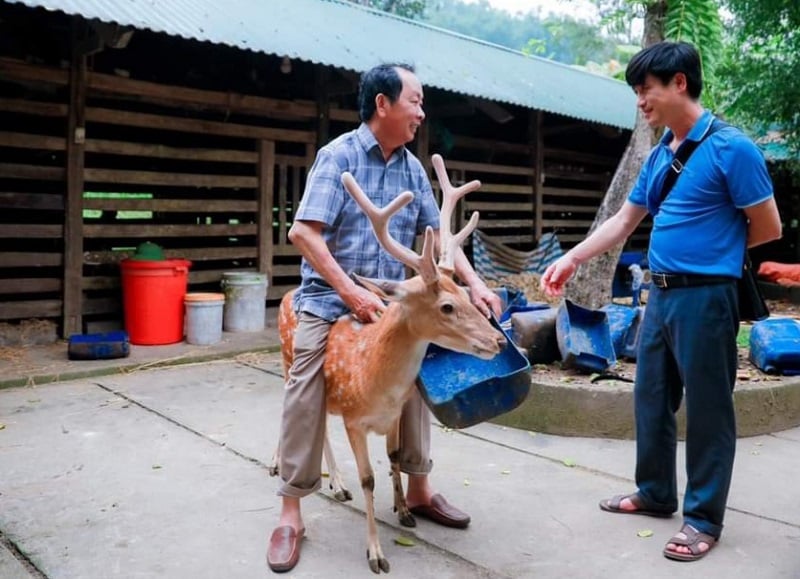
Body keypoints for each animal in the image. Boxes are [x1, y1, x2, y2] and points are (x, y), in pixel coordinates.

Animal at [272, 155, 504, 576]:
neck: (375, 383)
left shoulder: (394, 414)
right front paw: (376, 554)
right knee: (291, 412)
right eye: (446, 307)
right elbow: (368, 480)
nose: (496, 340)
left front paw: (405, 510)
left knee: (319, 427)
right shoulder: (354, 420)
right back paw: (286, 470)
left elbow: (395, 458)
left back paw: (337, 484)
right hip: (288, 363)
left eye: (466, 293)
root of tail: (285, 295)